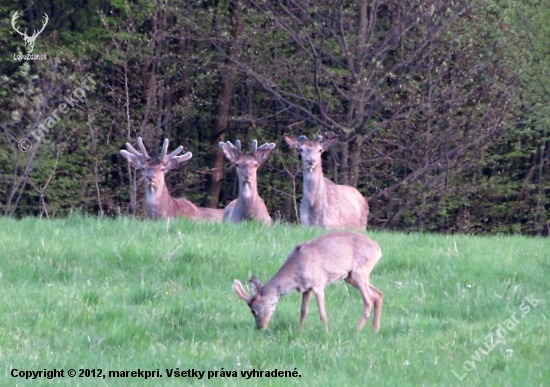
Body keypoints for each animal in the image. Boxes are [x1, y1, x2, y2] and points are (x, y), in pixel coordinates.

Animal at [233, 232, 384, 334]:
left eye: (253, 310)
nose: (259, 327)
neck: (296, 268)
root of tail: (378, 248)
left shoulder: (318, 284)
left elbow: (322, 314)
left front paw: (326, 333)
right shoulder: (306, 288)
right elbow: (303, 311)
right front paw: (300, 332)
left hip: (360, 271)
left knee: (368, 299)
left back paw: (357, 331)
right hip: (350, 276)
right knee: (378, 294)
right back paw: (375, 330)